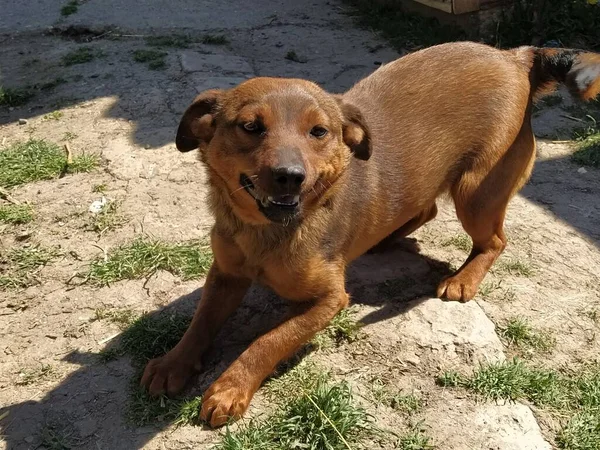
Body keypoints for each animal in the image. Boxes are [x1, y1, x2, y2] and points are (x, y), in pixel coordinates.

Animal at [142, 41, 600, 426]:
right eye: (250, 127)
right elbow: (200, 322)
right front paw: (173, 362)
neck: (265, 233)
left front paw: (231, 386)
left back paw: (463, 279)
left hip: (476, 192)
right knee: (427, 207)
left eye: (319, 132)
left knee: (495, 241)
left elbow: (269, 340)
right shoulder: (224, 276)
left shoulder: (330, 300)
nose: (290, 176)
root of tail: (516, 56)